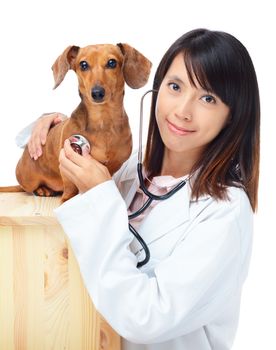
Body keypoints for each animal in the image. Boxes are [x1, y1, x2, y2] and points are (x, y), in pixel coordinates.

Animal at [0, 43, 151, 201]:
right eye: (83, 65)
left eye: (112, 63)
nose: (97, 93)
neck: (103, 122)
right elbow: (70, 188)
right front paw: (67, 200)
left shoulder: (114, 166)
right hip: (29, 180)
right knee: (28, 188)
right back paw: (42, 190)